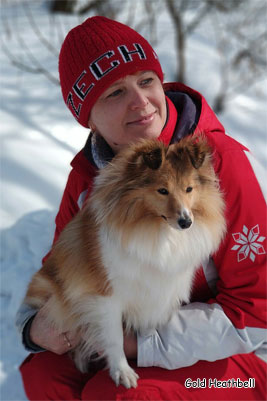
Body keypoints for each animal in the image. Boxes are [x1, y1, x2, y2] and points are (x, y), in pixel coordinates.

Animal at [24, 135, 226, 388]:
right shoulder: (105, 298)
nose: (186, 222)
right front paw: (122, 372)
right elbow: (114, 338)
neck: (157, 230)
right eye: (162, 190)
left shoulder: (157, 294)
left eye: (189, 189)